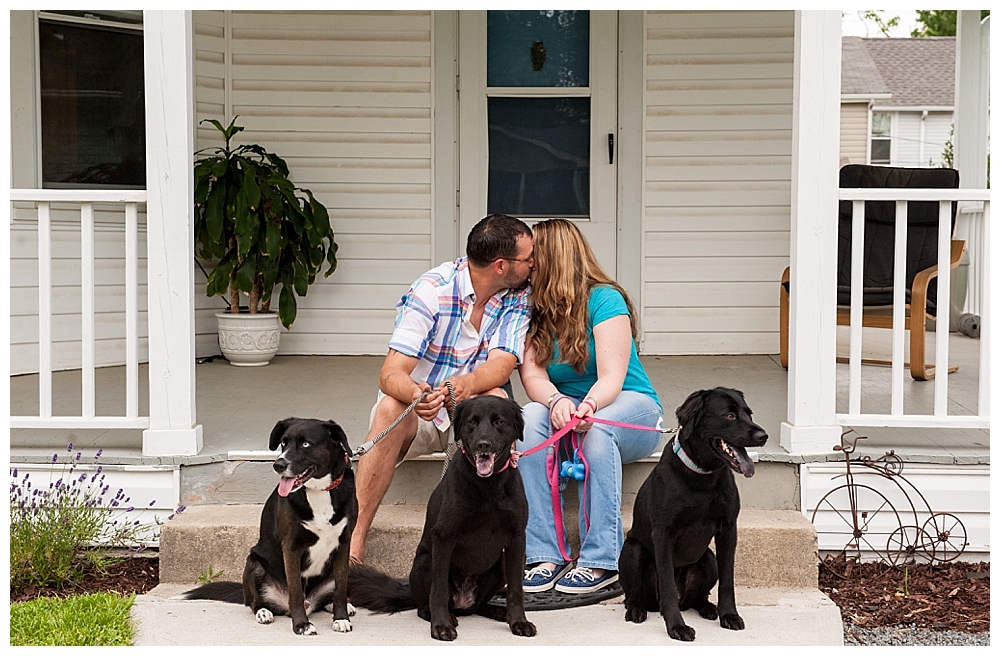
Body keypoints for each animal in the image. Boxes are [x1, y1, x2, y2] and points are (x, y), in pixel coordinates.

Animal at [180, 416, 360, 636]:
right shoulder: (291, 547)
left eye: (306, 444)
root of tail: (310, 603)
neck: (319, 491)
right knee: (255, 602)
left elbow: (341, 588)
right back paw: (264, 612)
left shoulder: (344, 543)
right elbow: (295, 590)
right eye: (283, 443)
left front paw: (341, 618)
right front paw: (302, 625)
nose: (278, 465)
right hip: (253, 564)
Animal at [348, 394, 536, 640]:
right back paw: (446, 616)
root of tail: (463, 603)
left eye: (499, 422)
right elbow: (438, 591)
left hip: (502, 565)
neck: (489, 486)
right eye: (472, 422)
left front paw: (519, 622)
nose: (483, 445)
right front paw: (441, 626)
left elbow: (516, 590)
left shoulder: (516, 539)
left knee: (478, 606)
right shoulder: (444, 537)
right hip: (426, 561)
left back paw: (498, 612)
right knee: (425, 605)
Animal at [620, 390, 768, 640]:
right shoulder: (663, 533)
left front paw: (729, 615)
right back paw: (637, 610)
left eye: (749, 414)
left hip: (708, 559)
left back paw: (708, 608)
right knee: (633, 595)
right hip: (632, 550)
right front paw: (676, 627)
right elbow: (667, 585)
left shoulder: (729, 528)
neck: (703, 475)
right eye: (729, 415)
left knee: (698, 597)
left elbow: (727, 581)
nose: (763, 436)